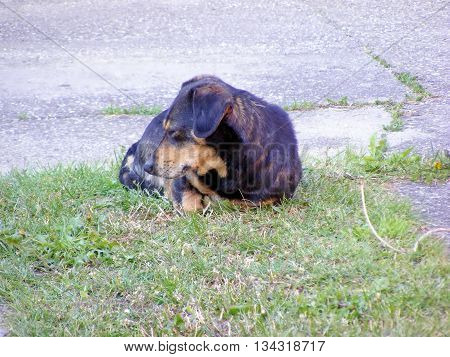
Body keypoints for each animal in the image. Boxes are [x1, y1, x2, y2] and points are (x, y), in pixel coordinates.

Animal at [119, 74, 302, 210]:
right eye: (166, 130)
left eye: (173, 132)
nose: (147, 167)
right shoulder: (181, 179)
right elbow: (188, 203)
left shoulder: (271, 198)